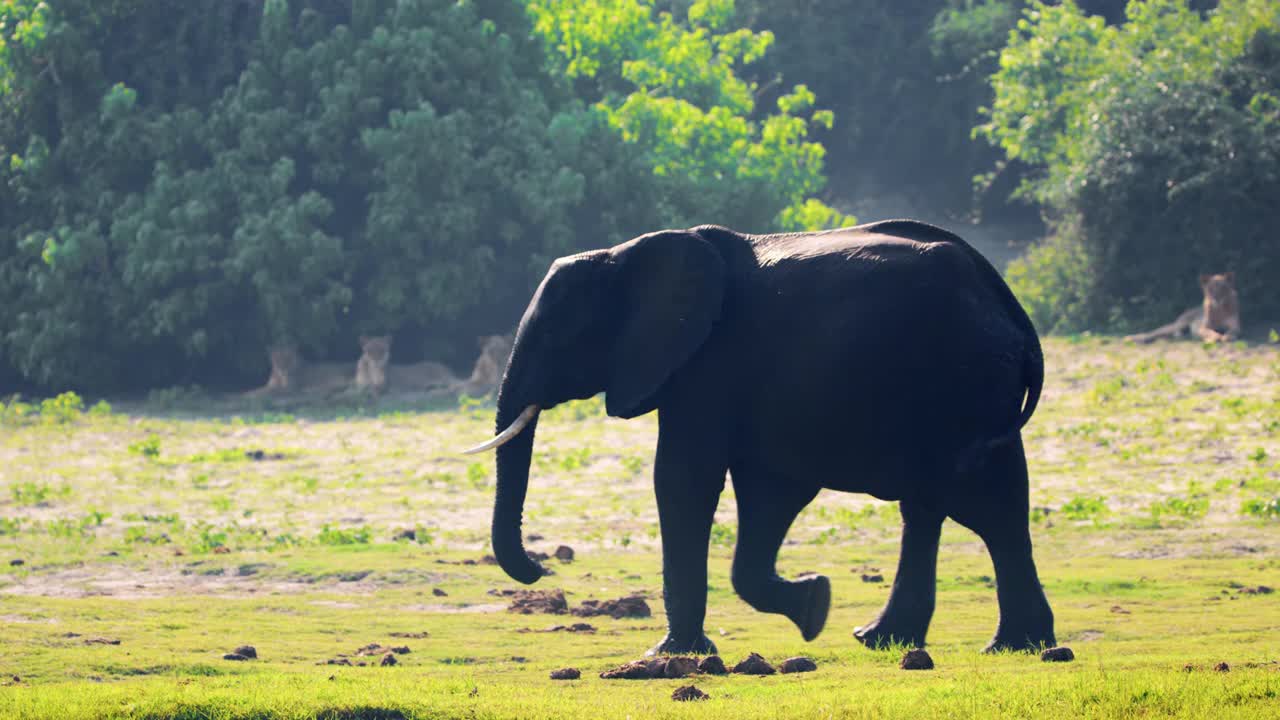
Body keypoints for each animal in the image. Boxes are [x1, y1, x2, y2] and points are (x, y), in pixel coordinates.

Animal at [465, 220, 1054, 655]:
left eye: (555, 334)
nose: (540, 569)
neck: (626, 253)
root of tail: (1006, 301)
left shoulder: (707, 363)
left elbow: (683, 480)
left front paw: (673, 655)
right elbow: (767, 494)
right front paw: (815, 605)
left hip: (965, 380)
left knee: (987, 504)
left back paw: (1005, 646)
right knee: (947, 507)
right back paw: (901, 640)